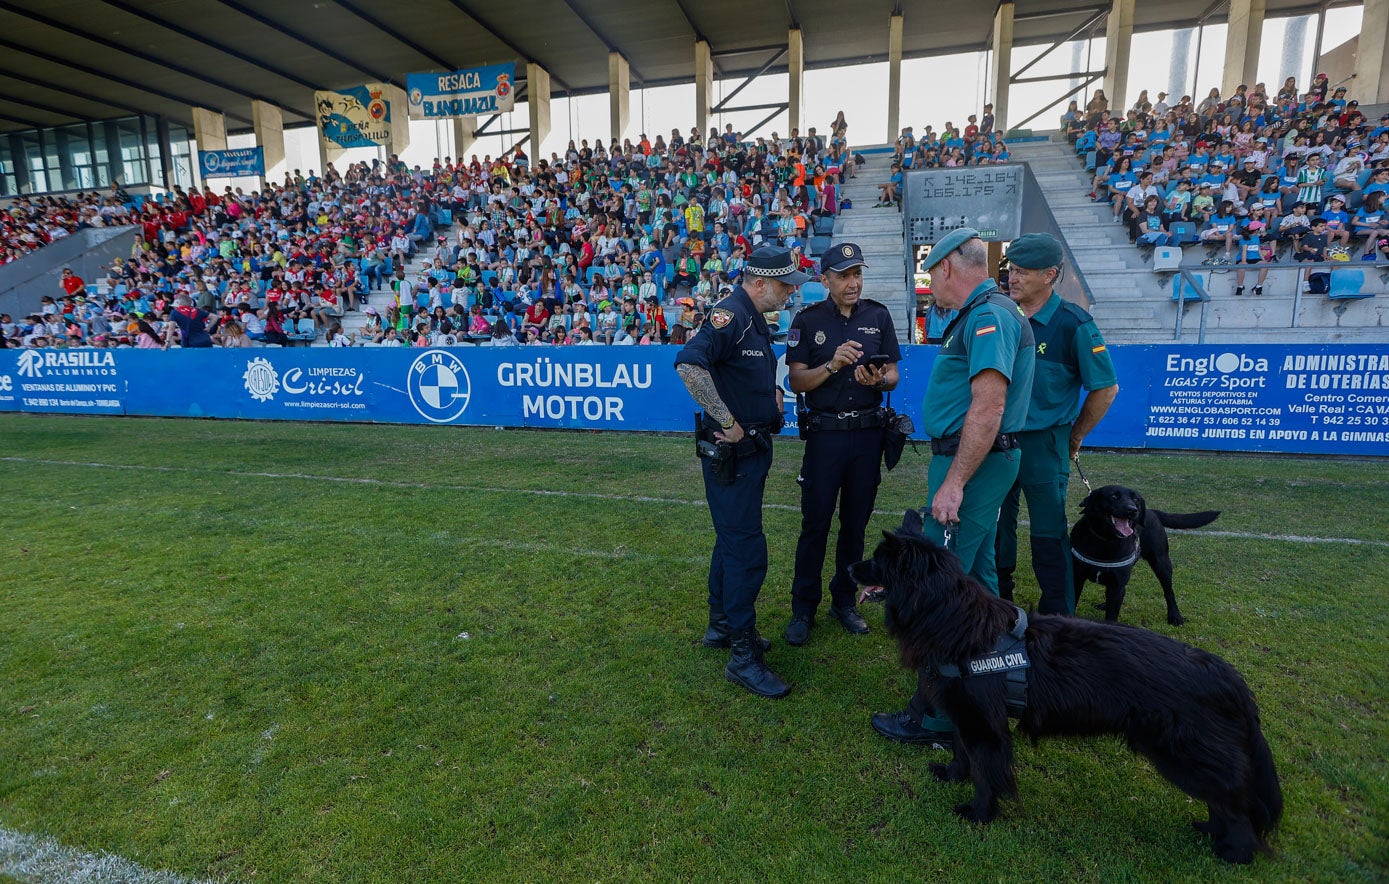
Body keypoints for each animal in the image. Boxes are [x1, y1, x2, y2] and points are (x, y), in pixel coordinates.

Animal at [850, 511, 1283, 861]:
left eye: (877, 561)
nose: (851, 568)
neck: (951, 619)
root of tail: (1223, 671)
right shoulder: (965, 714)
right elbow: (962, 753)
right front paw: (953, 776)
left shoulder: (985, 726)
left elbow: (986, 773)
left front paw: (980, 814)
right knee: (1224, 796)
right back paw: (1211, 831)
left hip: (1180, 752)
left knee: (1235, 801)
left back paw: (1235, 851)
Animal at [1066, 483, 1222, 628]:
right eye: (1114, 496)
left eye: (1136, 499)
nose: (1132, 510)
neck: (1105, 541)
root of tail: (1151, 511)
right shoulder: (1077, 578)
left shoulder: (1117, 584)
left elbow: (1112, 615)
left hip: (1162, 563)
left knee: (1169, 592)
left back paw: (1175, 616)